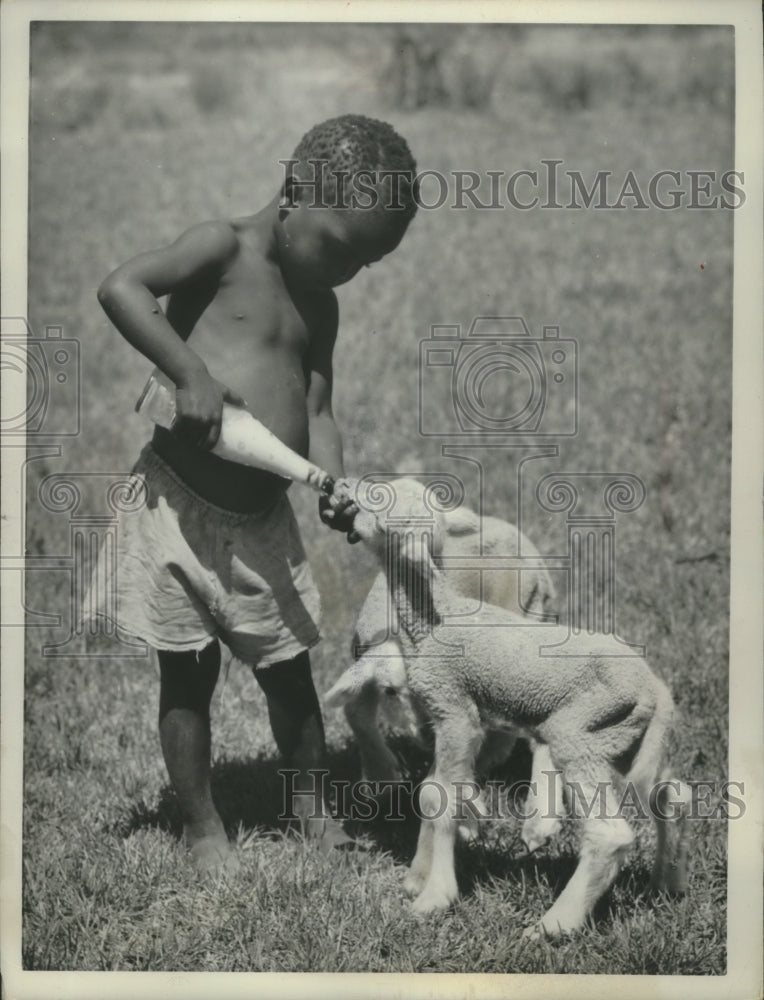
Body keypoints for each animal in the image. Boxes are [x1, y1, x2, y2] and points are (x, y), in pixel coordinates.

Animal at [326, 498, 564, 852]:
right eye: (391, 692)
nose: (427, 734)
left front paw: (466, 820)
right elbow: (355, 712)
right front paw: (382, 776)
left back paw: (538, 821)